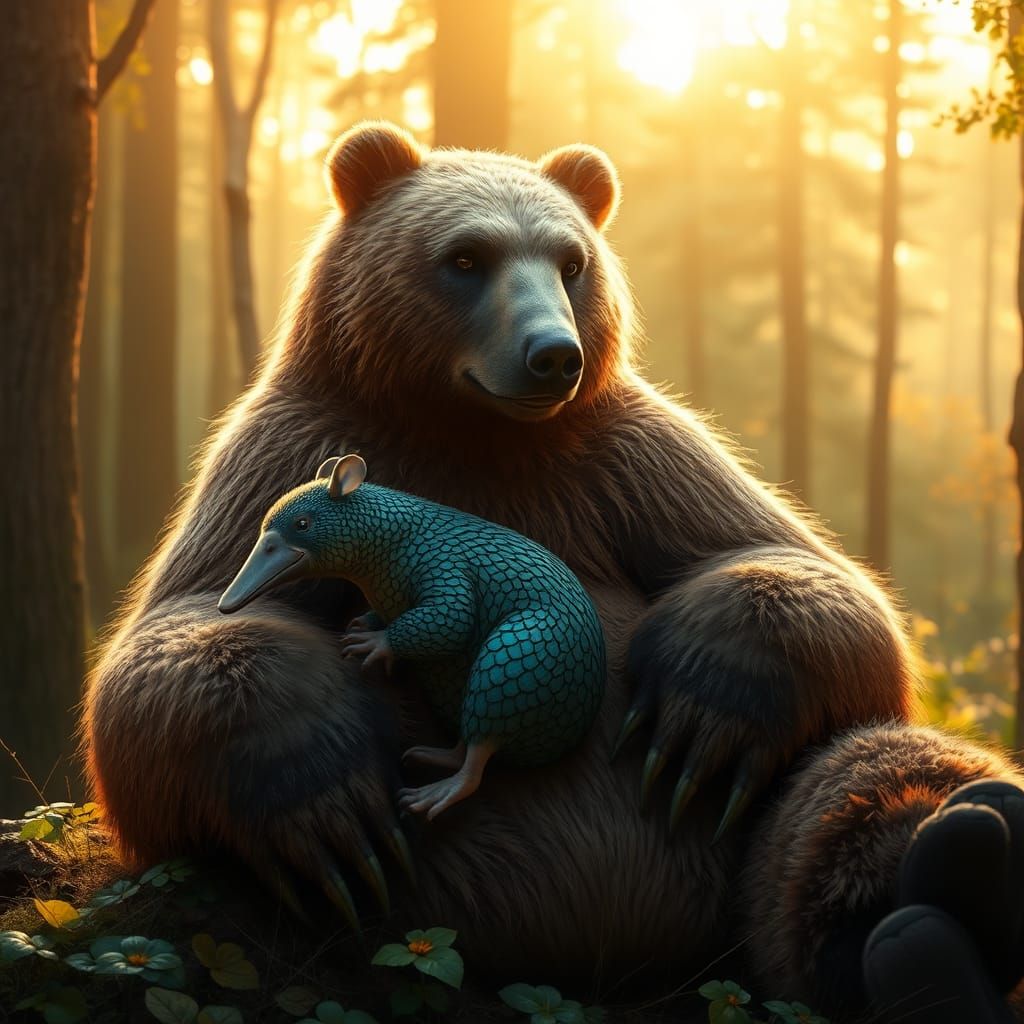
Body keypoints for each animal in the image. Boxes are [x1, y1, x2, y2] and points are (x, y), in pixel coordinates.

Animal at [84, 121, 1024, 1022]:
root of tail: (623, 968)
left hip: (748, 847)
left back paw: (952, 870)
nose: (553, 356)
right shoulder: (288, 444)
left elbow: (795, 566)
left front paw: (703, 708)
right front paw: (323, 801)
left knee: (856, 778)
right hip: (308, 918)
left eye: (572, 262)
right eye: (467, 256)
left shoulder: (620, 458)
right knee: (220, 915)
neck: (472, 433)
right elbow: (188, 623)